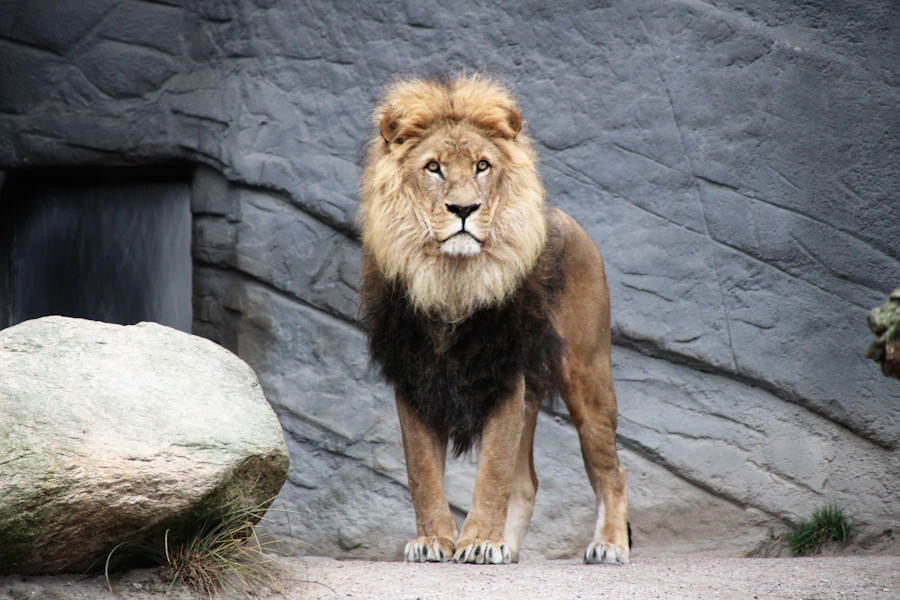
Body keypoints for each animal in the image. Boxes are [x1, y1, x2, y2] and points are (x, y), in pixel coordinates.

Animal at [358, 74, 629, 565]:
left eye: (482, 166)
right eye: (433, 168)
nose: (464, 209)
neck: (451, 281)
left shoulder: (504, 372)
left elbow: (493, 473)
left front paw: (481, 540)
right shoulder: (413, 376)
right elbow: (422, 472)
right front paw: (434, 540)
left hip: (588, 374)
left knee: (611, 470)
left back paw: (609, 545)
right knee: (528, 483)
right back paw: (512, 548)